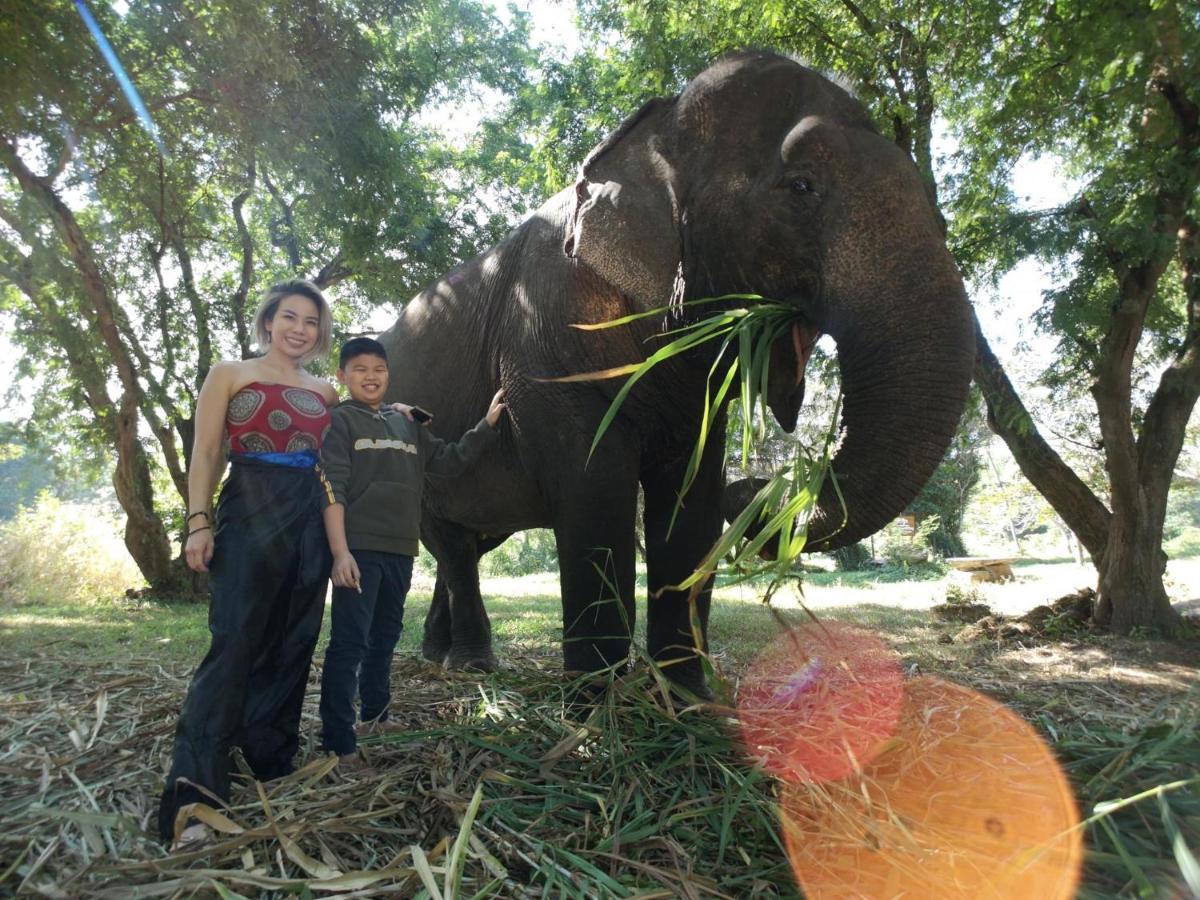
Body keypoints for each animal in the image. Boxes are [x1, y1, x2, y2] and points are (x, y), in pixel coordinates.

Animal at [379, 51, 979, 696]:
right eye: (801, 186)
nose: (757, 487)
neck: (650, 136)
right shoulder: (547, 332)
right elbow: (596, 494)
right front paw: (596, 703)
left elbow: (691, 507)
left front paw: (688, 699)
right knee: (452, 543)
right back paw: (470, 665)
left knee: (470, 541)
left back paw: (444, 656)